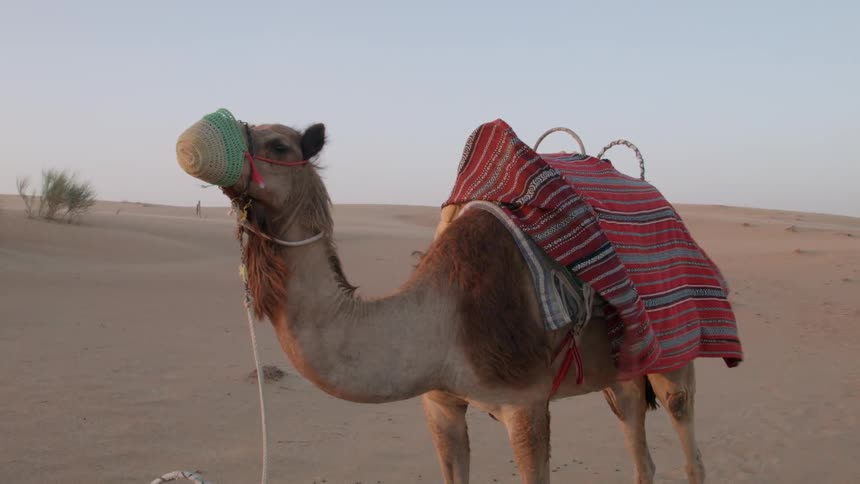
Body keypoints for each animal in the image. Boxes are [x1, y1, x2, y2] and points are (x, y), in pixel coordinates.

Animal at [177, 118, 706, 484]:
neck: (439, 319)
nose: (193, 141)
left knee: (687, 440)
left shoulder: (526, 403)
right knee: (639, 445)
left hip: (676, 349)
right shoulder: (439, 403)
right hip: (620, 373)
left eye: (278, 145)